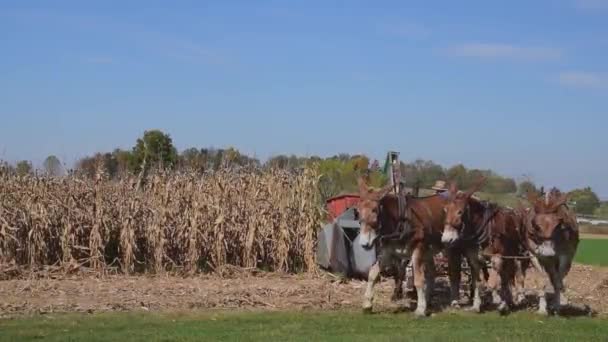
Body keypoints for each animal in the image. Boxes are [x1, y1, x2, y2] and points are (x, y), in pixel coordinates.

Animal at [356, 178, 446, 316]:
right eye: (358, 211)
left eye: (375, 210)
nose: (364, 243)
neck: (401, 221)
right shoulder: (388, 252)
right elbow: (373, 274)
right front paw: (367, 304)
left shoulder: (418, 250)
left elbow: (418, 280)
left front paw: (420, 309)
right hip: (429, 251)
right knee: (432, 273)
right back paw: (428, 299)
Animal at [442, 180, 528, 314]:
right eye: (445, 210)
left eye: (460, 211)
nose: (446, 239)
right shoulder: (474, 260)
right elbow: (477, 283)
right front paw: (477, 305)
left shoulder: (497, 258)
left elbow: (493, 284)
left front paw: (499, 303)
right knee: (507, 276)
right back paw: (509, 301)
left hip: (518, 256)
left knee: (514, 275)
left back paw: (515, 299)